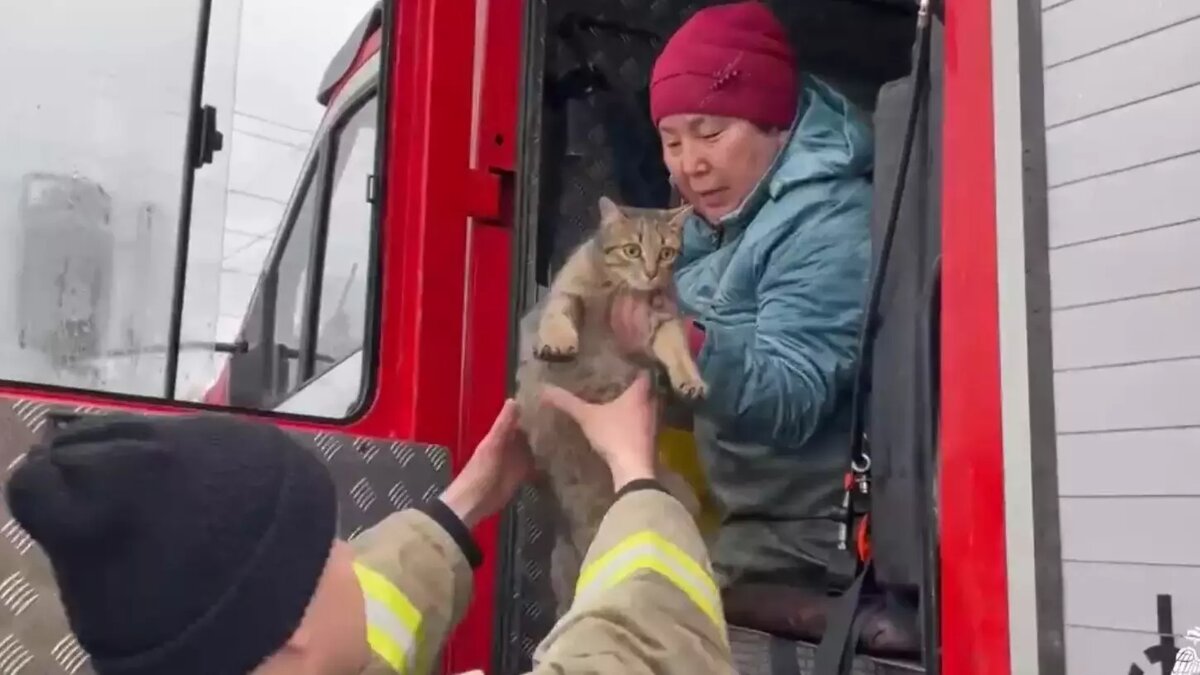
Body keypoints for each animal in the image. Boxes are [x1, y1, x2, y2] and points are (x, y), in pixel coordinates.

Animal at [513, 193, 700, 614]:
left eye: (666, 252)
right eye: (632, 250)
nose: (650, 273)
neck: (621, 289)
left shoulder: (664, 319)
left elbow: (678, 349)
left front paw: (690, 379)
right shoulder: (567, 292)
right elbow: (558, 312)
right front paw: (557, 342)